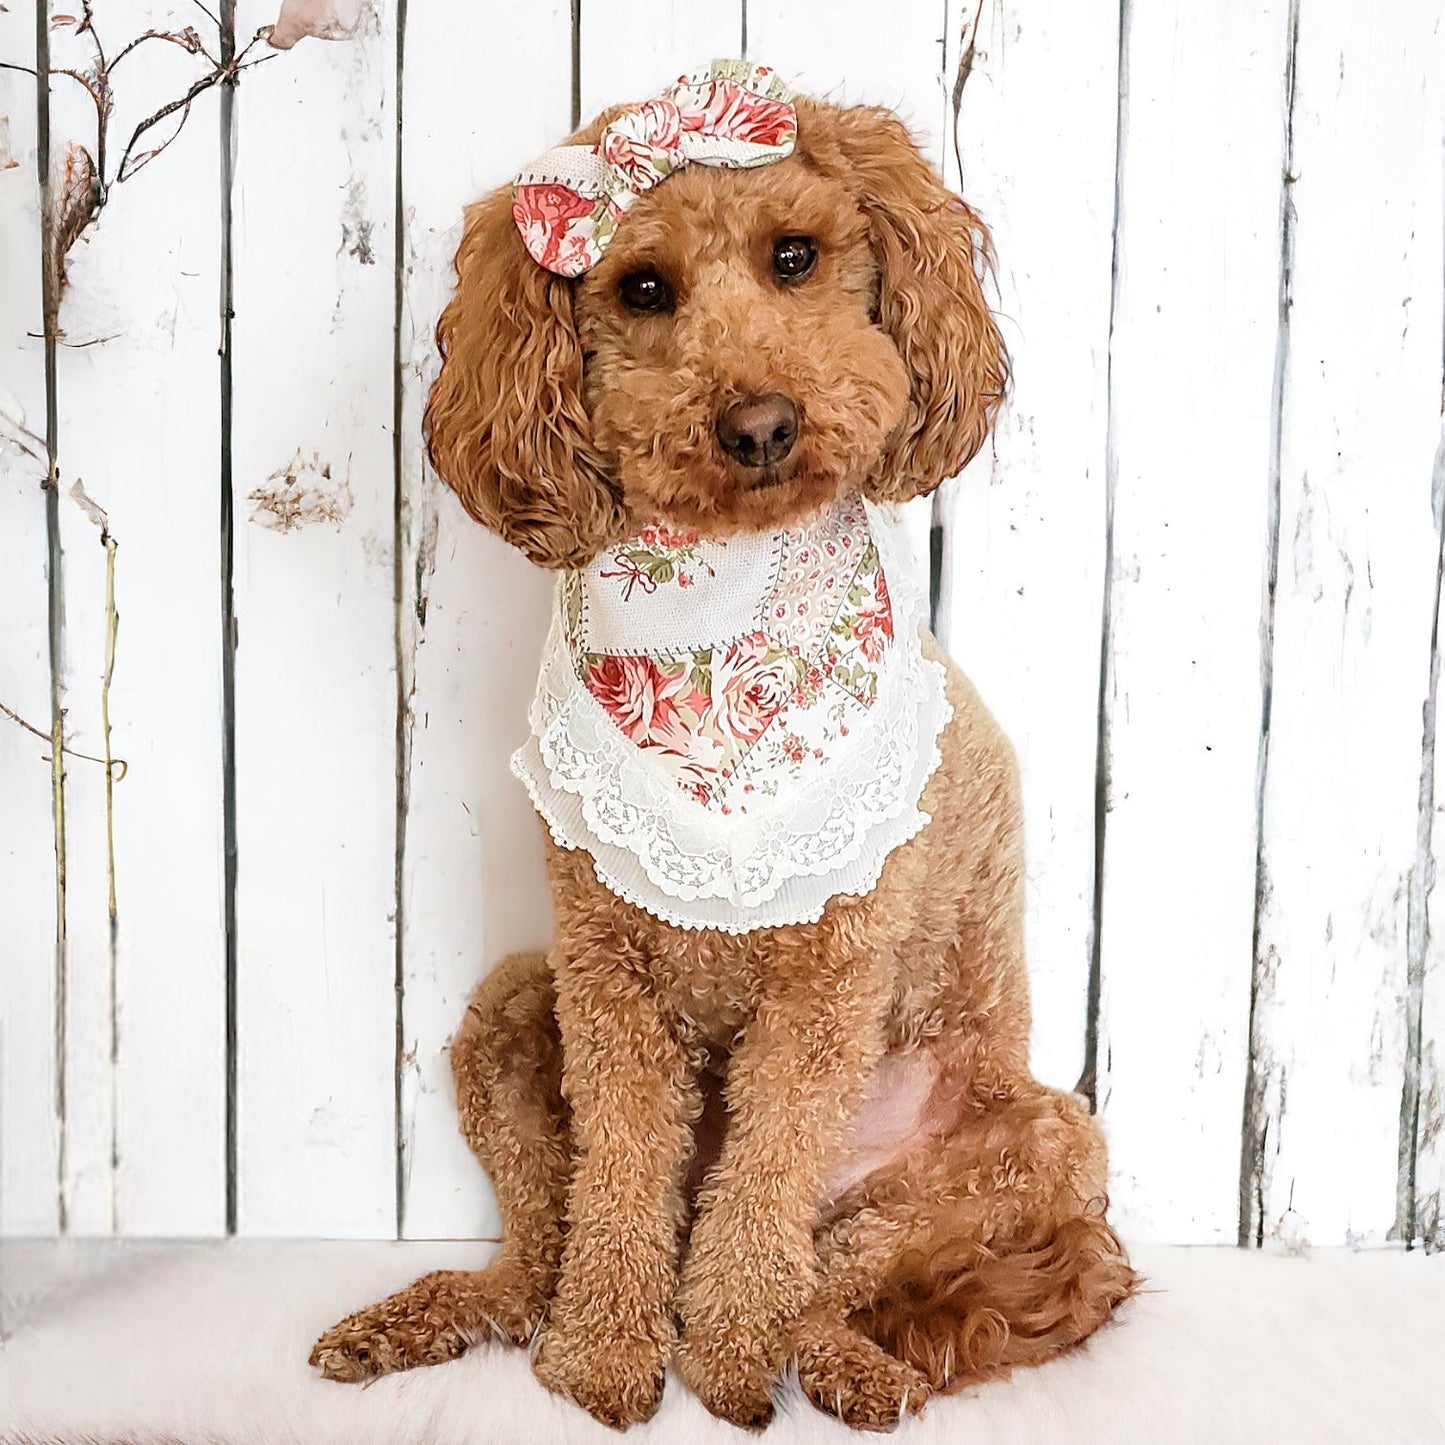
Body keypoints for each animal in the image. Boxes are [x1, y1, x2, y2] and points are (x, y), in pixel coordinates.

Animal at [310, 59, 1132, 1433]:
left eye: (793, 256)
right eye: (643, 289)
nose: (758, 422)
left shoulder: (824, 990)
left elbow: (762, 1196)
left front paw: (725, 1363)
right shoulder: (604, 975)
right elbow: (617, 1186)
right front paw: (601, 1362)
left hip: (1026, 1149)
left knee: (828, 1268)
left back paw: (847, 1367)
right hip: (509, 1006)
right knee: (539, 1253)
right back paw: (422, 1321)